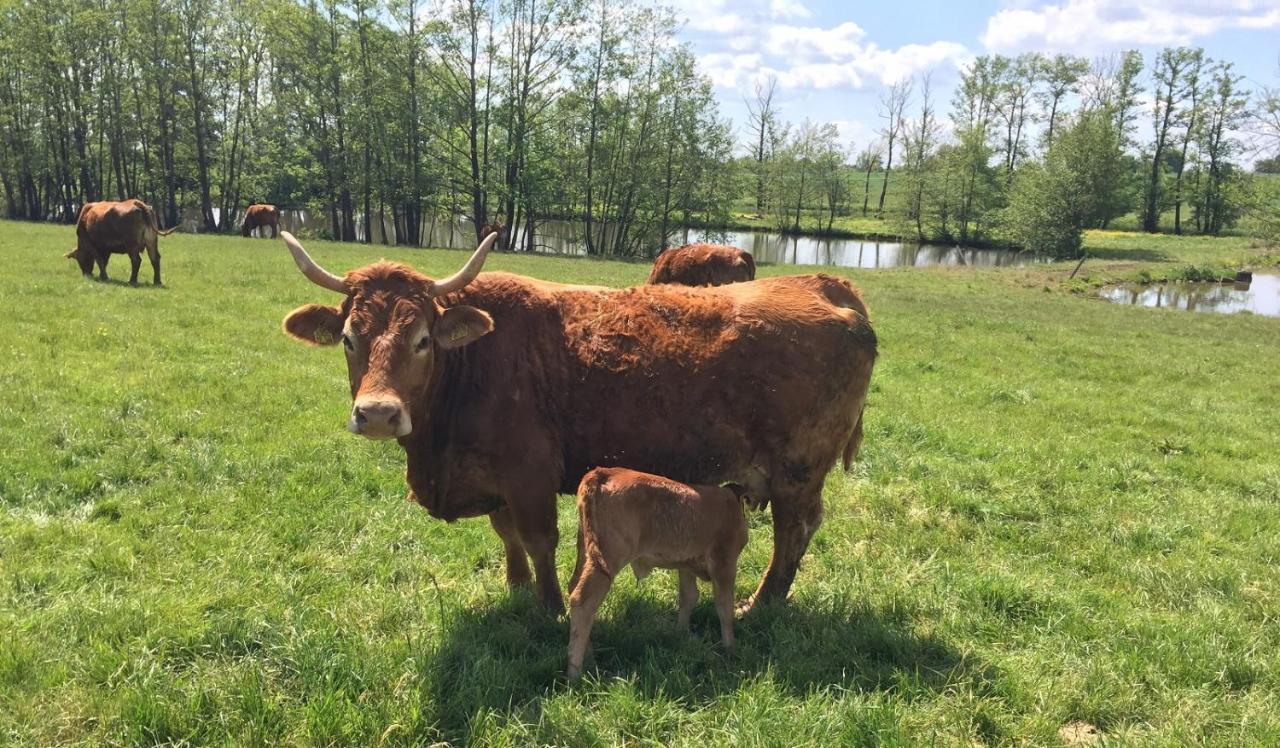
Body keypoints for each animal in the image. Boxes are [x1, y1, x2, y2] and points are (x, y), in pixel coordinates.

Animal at [279, 231, 875, 614]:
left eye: (423, 340)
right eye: (349, 339)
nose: (379, 413)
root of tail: (824, 285)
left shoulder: (530, 474)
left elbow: (539, 538)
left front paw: (548, 606)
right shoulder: (494, 479)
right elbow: (507, 535)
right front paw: (517, 588)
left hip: (798, 471)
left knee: (794, 531)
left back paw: (760, 604)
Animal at [565, 466, 747, 676]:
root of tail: (603, 472)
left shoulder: (686, 565)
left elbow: (689, 597)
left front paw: (681, 634)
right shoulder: (725, 563)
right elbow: (725, 607)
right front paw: (730, 648)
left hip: (586, 551)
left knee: (573, 587)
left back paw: (589, 656)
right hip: (608, 559)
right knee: (582, 601)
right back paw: (575, 672)